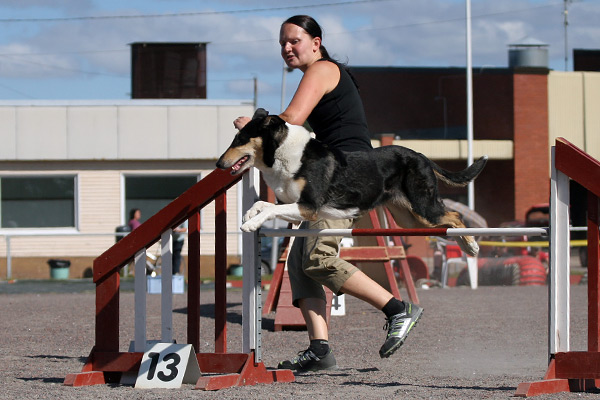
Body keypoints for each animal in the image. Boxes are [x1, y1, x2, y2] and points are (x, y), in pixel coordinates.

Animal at [216, 109, 487, 256]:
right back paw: (467, 247)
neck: (285, 153)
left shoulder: (308, 206)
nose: (219, 163)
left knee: (455, 216)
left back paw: (472, 247)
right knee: (448, 223)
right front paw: (249, 214)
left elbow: (269, 209)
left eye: (240, 139)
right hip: (411, 220)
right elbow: (263, 204)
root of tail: (422, 155)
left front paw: (251, 225)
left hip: (424, 207)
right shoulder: (291, 204)